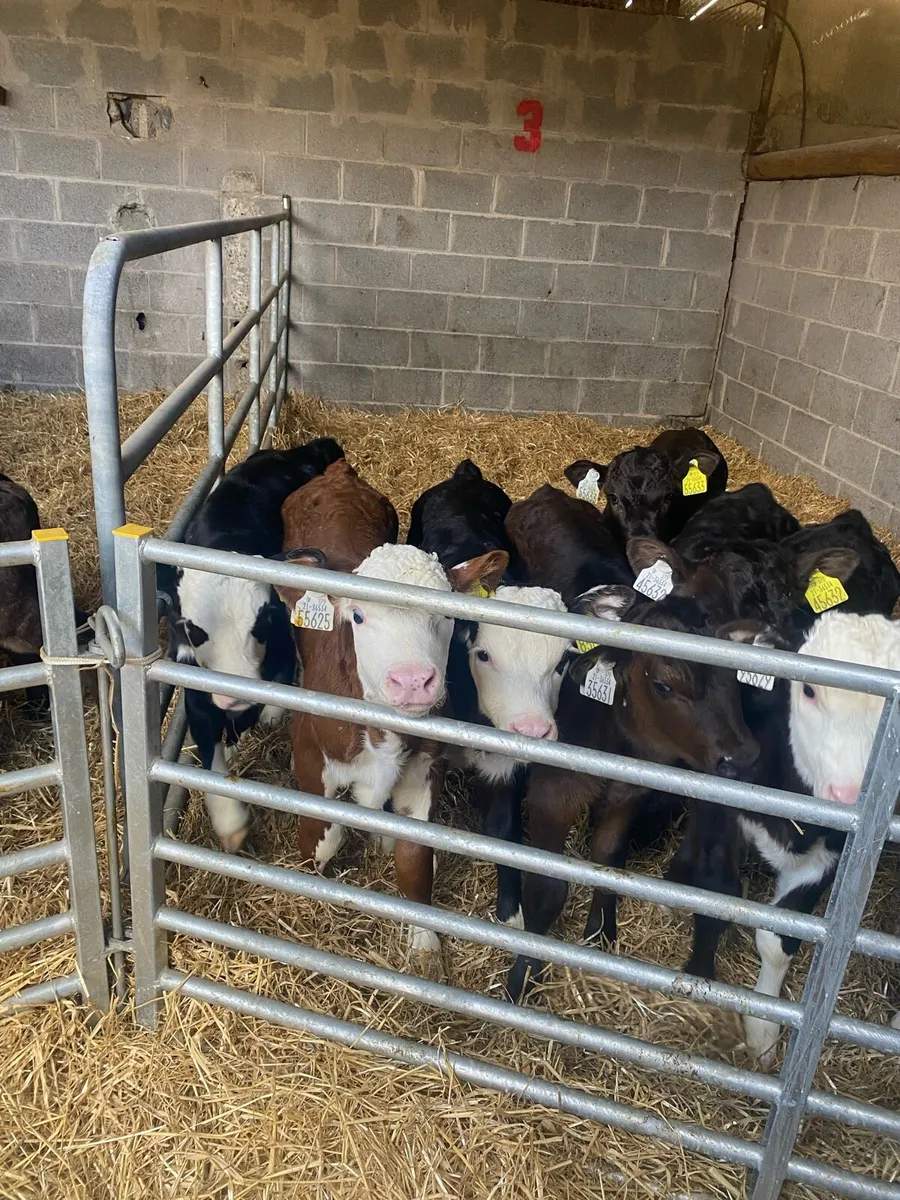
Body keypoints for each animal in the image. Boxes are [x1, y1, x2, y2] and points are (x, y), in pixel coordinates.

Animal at [159, 437, 344, 853]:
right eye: (195, 631)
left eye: (261, 624)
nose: (233, 696)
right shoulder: (195, 685)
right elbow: (210, 757)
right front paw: (230, 824)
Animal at [276, 458, 506, 966]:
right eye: (358, 616)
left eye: (447, 614)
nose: (413, 680)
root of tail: (337, 474)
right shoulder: (311, 756)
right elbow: (322, 841)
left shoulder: (424, 768)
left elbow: (415, 860)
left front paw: (425, 943)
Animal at [507, 538, 761, 1001]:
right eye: (663, 684)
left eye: (735, 667)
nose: (744, 758)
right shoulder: (552, 791)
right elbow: (546, 888)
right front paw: (524, 974)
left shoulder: (631, 791)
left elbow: (609, 860)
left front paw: (600, 933)